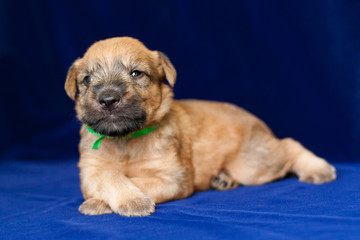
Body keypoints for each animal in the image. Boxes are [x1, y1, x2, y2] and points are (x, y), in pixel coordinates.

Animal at [65, 36, 338, 217]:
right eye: (87, 79)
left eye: (136, 73)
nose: (108, 99)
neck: (126, 141)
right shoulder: (90, 171)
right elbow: (110, 176)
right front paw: (106, 200)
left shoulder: (174, 177)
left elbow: (136, 180)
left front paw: (126, 201)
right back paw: (224, 181)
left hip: (253, 166)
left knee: (289, 145)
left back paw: (318, 168)